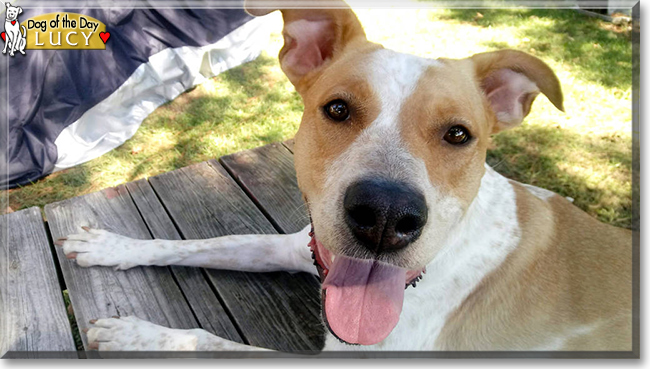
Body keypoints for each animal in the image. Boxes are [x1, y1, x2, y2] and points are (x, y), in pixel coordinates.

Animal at [58, 1, 632, 352]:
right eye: (337, 109)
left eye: (458, 135)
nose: (385, 216)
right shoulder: (300, 245)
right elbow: (207, 243)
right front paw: (110, 246)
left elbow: (210, 341)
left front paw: (136, 337)